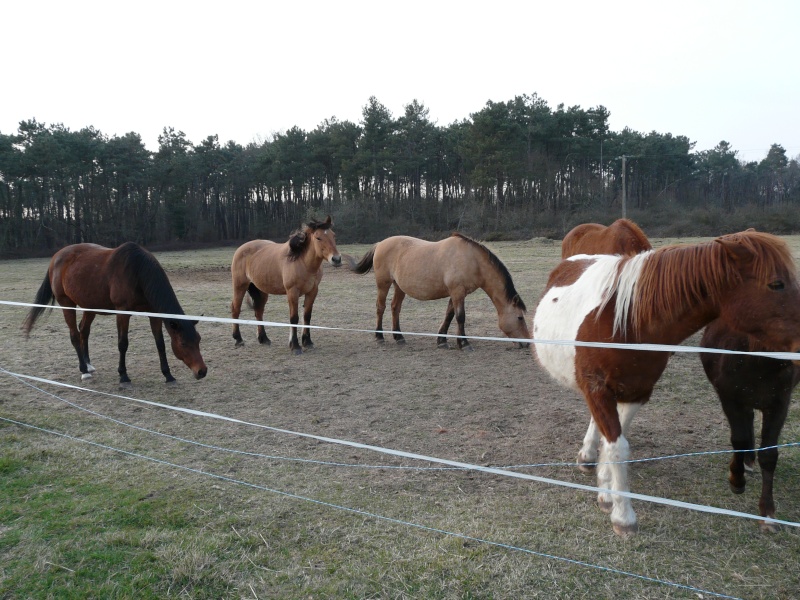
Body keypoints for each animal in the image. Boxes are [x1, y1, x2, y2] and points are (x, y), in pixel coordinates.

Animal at [23, 241, 208, 386]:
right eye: (183, 343)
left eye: (198, 340)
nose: (202, 371)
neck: (138, 272)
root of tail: (56, 258)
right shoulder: (123, 312)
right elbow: (123, 343)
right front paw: (123, 376)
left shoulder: (154, 314)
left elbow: (160, 344)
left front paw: (168, 375)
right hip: (67, 304)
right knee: (75, 335)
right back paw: (84, 371)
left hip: (91, 306)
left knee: (84, 330)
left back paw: (88, 364)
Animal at [231, 216, 344, 354]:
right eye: (318, 237)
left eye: (334, 235)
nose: (336, 259)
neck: (302, 262)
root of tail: (241, 249)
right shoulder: (292, 292)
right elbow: (294, 318)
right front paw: (295, 346)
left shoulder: (312, 291)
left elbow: (307, 316)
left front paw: (307, 342)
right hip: (240, 286)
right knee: (235, 309)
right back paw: (238, 339)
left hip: (261, 291)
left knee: (259, 312)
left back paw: (264, 339)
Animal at [352, 232, 532, 350]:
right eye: (520, 317)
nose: (527, 343)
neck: (472, 260)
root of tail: (380, 244)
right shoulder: (458, 292)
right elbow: (460, 317)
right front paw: (464, 343)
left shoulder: (456, 293)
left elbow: (449, 315)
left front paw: (442, 340)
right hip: (383, 284)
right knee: (380, 307)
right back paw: (379, 336)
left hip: (399, 287)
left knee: (395, 307)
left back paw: (399, 337)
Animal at [536, 231, 800, 540]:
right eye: (776, 284)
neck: (626, 323)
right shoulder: (598, 389)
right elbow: (617, 447)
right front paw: (623, 516)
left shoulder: (636, 392)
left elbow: (615, 443)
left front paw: (607, 491)